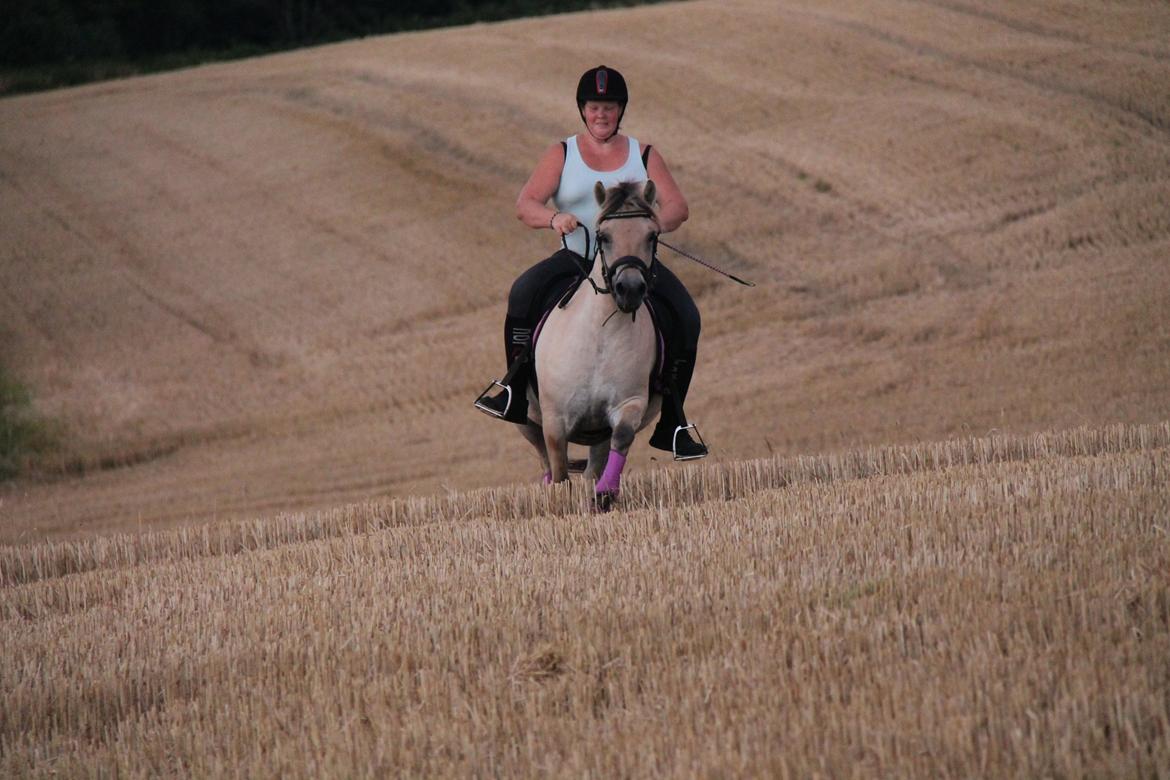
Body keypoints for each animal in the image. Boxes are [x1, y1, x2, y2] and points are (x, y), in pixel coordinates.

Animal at [524, 182, 669, 512]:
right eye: (604, 236)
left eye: (652, 235)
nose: (629, 289)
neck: (601, 336)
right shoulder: (555, 419)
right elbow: (559, 469)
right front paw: (561, 505)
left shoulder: (628, 403)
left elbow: (622, 436)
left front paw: (604, 495)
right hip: (528, 418)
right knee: (543, 457)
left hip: (598, 434)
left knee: (593, 466)